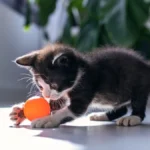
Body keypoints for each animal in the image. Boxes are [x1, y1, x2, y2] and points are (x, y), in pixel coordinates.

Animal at [9, 43, 150, 127]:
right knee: (122, 108)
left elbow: (68, 110)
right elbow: (56, 103)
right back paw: (101, 116)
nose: (46, 95)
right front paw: (19, 112)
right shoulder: (61, 95)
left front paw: (47, 119)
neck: (80, 71)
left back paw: (133, 118)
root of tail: (146, 65)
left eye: (53, 84)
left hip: (139, 83)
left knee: (138, 102)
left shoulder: (86, 85)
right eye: (40, 86)